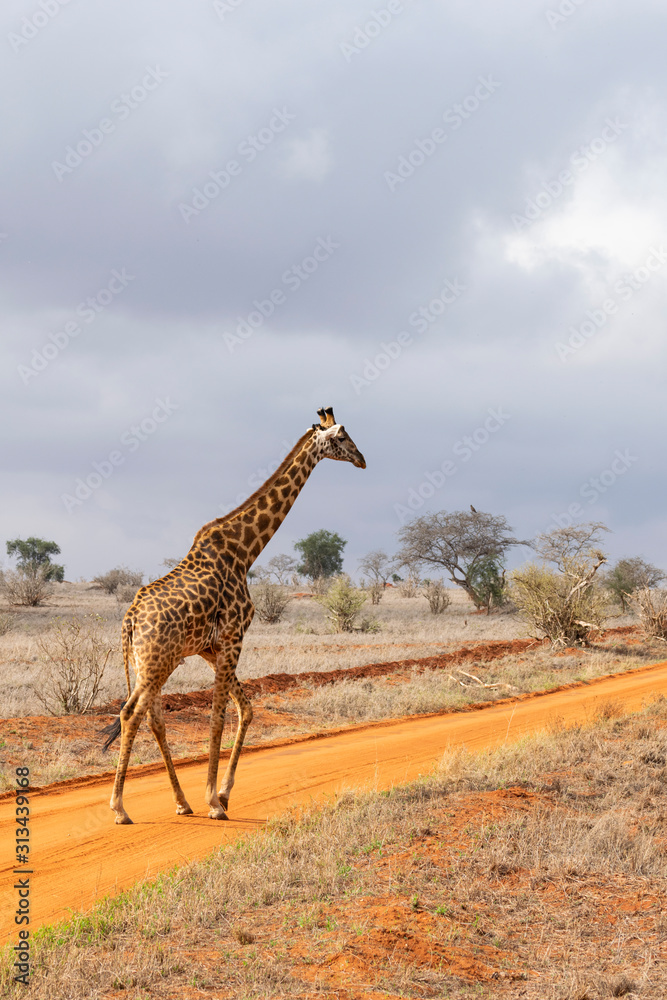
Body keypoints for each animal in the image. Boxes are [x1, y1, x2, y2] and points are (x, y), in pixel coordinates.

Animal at [105, 407, 365, 825]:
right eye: (341, 437)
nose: (362, 459)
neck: (245, 552)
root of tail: (129, 621)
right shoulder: (233, 637)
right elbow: (218, 714)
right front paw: (214, 800)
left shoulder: (210, 648)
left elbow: (247, 708)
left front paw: (223, 795)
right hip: (157, 660)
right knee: (131, 714)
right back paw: (120, 808)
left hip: (153, 662)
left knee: (152, 717)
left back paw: (181, 802)